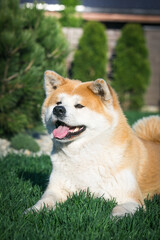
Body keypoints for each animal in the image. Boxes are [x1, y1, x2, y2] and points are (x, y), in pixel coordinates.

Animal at [26, 70, 160, 217]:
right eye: (58, 103)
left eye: (79, 105)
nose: (58, 109)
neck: (82, 154)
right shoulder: (56, 189)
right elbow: (44, 202)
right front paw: (32, 211)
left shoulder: (132, 199)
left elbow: (118, 211)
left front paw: (110, 219)